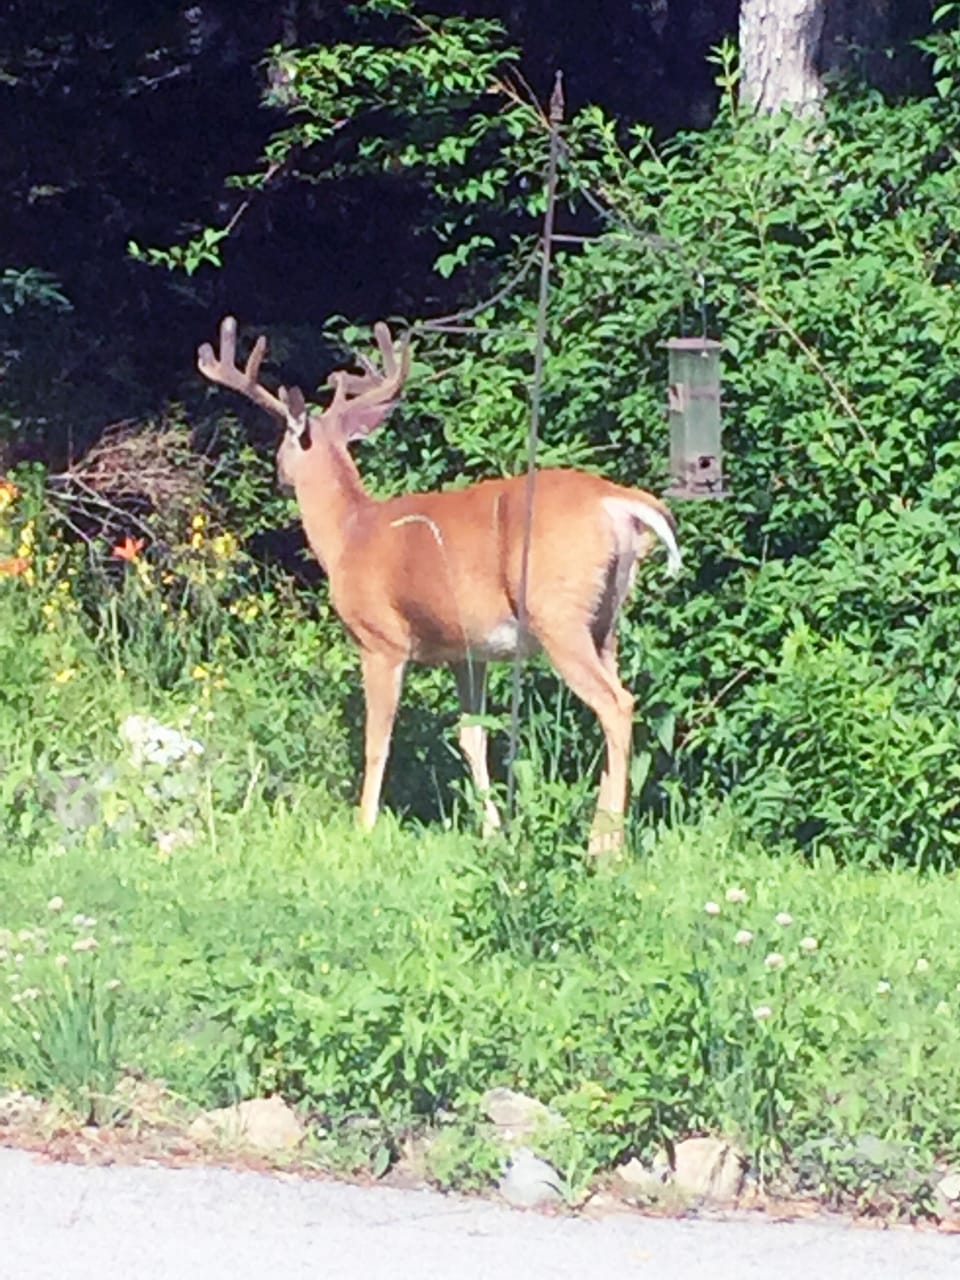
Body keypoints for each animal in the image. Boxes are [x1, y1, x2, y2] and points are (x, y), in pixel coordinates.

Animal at [197, 317, 681, 852]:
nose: (279, 474)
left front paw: (364, 824)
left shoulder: (380, 641)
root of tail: (617, 504)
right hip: (605, 621)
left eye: (282, 438)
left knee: (616, 703)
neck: (347, 534)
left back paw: (603, 847)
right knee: (616, 700)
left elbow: (378, 740)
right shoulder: (466, 650)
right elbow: (473, 735)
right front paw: (492, 830)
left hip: (558, 614)